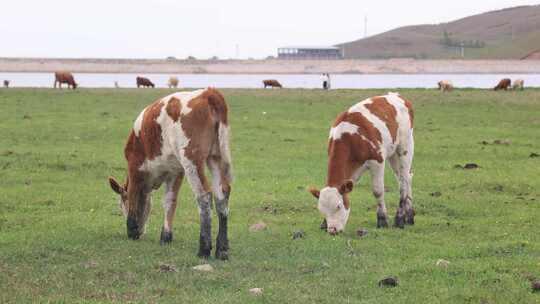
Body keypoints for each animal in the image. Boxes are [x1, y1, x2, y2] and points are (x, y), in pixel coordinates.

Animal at [107, 87, 232, 258]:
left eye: (121, 205)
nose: (139, 232)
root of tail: (208, 93)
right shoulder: (176, 171)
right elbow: (169, 201)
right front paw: (165, 236)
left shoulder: (135, 167)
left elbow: (133, 196)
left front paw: (131, 228)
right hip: (216, 156)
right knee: (222, 194)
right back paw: (222, 249)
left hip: (192, 159)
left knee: (204, 196)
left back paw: (204, 249)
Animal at [308, 91, 414, 234]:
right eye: (322, 210)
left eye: (339, 206)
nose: (332, 230)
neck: (350, 138)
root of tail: (397, 95)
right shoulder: (351, 171)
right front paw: (324, 223)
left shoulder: (377, 161)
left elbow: (378, 191)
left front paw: (382, 220)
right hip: (393, 153)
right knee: (406, 177)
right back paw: (409, 216)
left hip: (405, 146)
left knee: (403, 182)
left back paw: (400, 218)